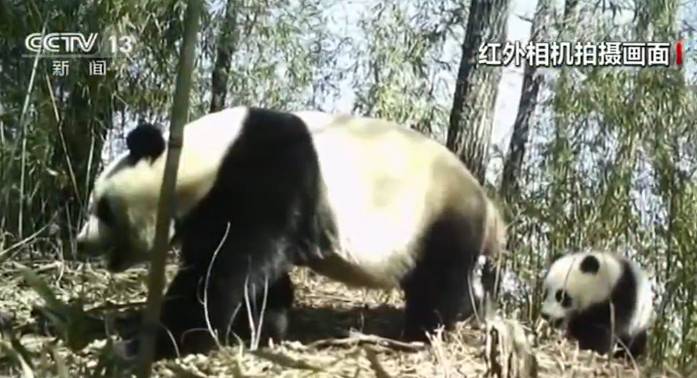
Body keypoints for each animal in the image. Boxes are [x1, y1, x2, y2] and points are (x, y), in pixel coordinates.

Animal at [75, 106, 506, 360]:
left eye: (103, 207)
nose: (81, 242)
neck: (204, 158)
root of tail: (491, 212)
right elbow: (253, 270)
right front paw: (264, 326)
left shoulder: (269, 171)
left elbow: (226, 268)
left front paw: (155, 341)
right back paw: (475, 315)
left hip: (439, 214)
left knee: (440, 280)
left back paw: (423, 331)